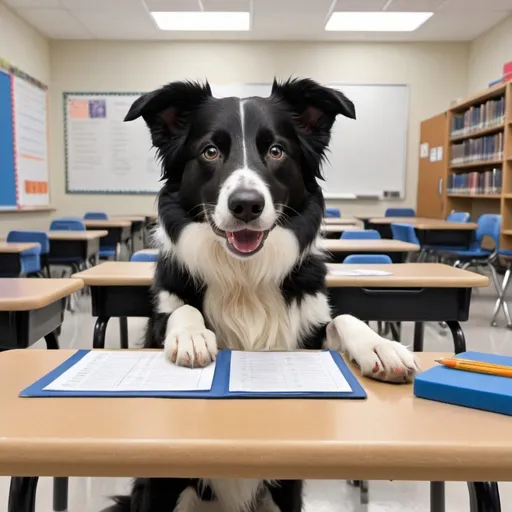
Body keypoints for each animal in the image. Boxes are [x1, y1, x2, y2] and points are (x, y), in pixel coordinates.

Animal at [107, 77, 416, 512]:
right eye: (210, 151)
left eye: (276, 151)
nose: (246, 205)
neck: (244, 277)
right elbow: (181, 311)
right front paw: (191, 337)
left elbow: (341, 318)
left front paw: (380, 347)